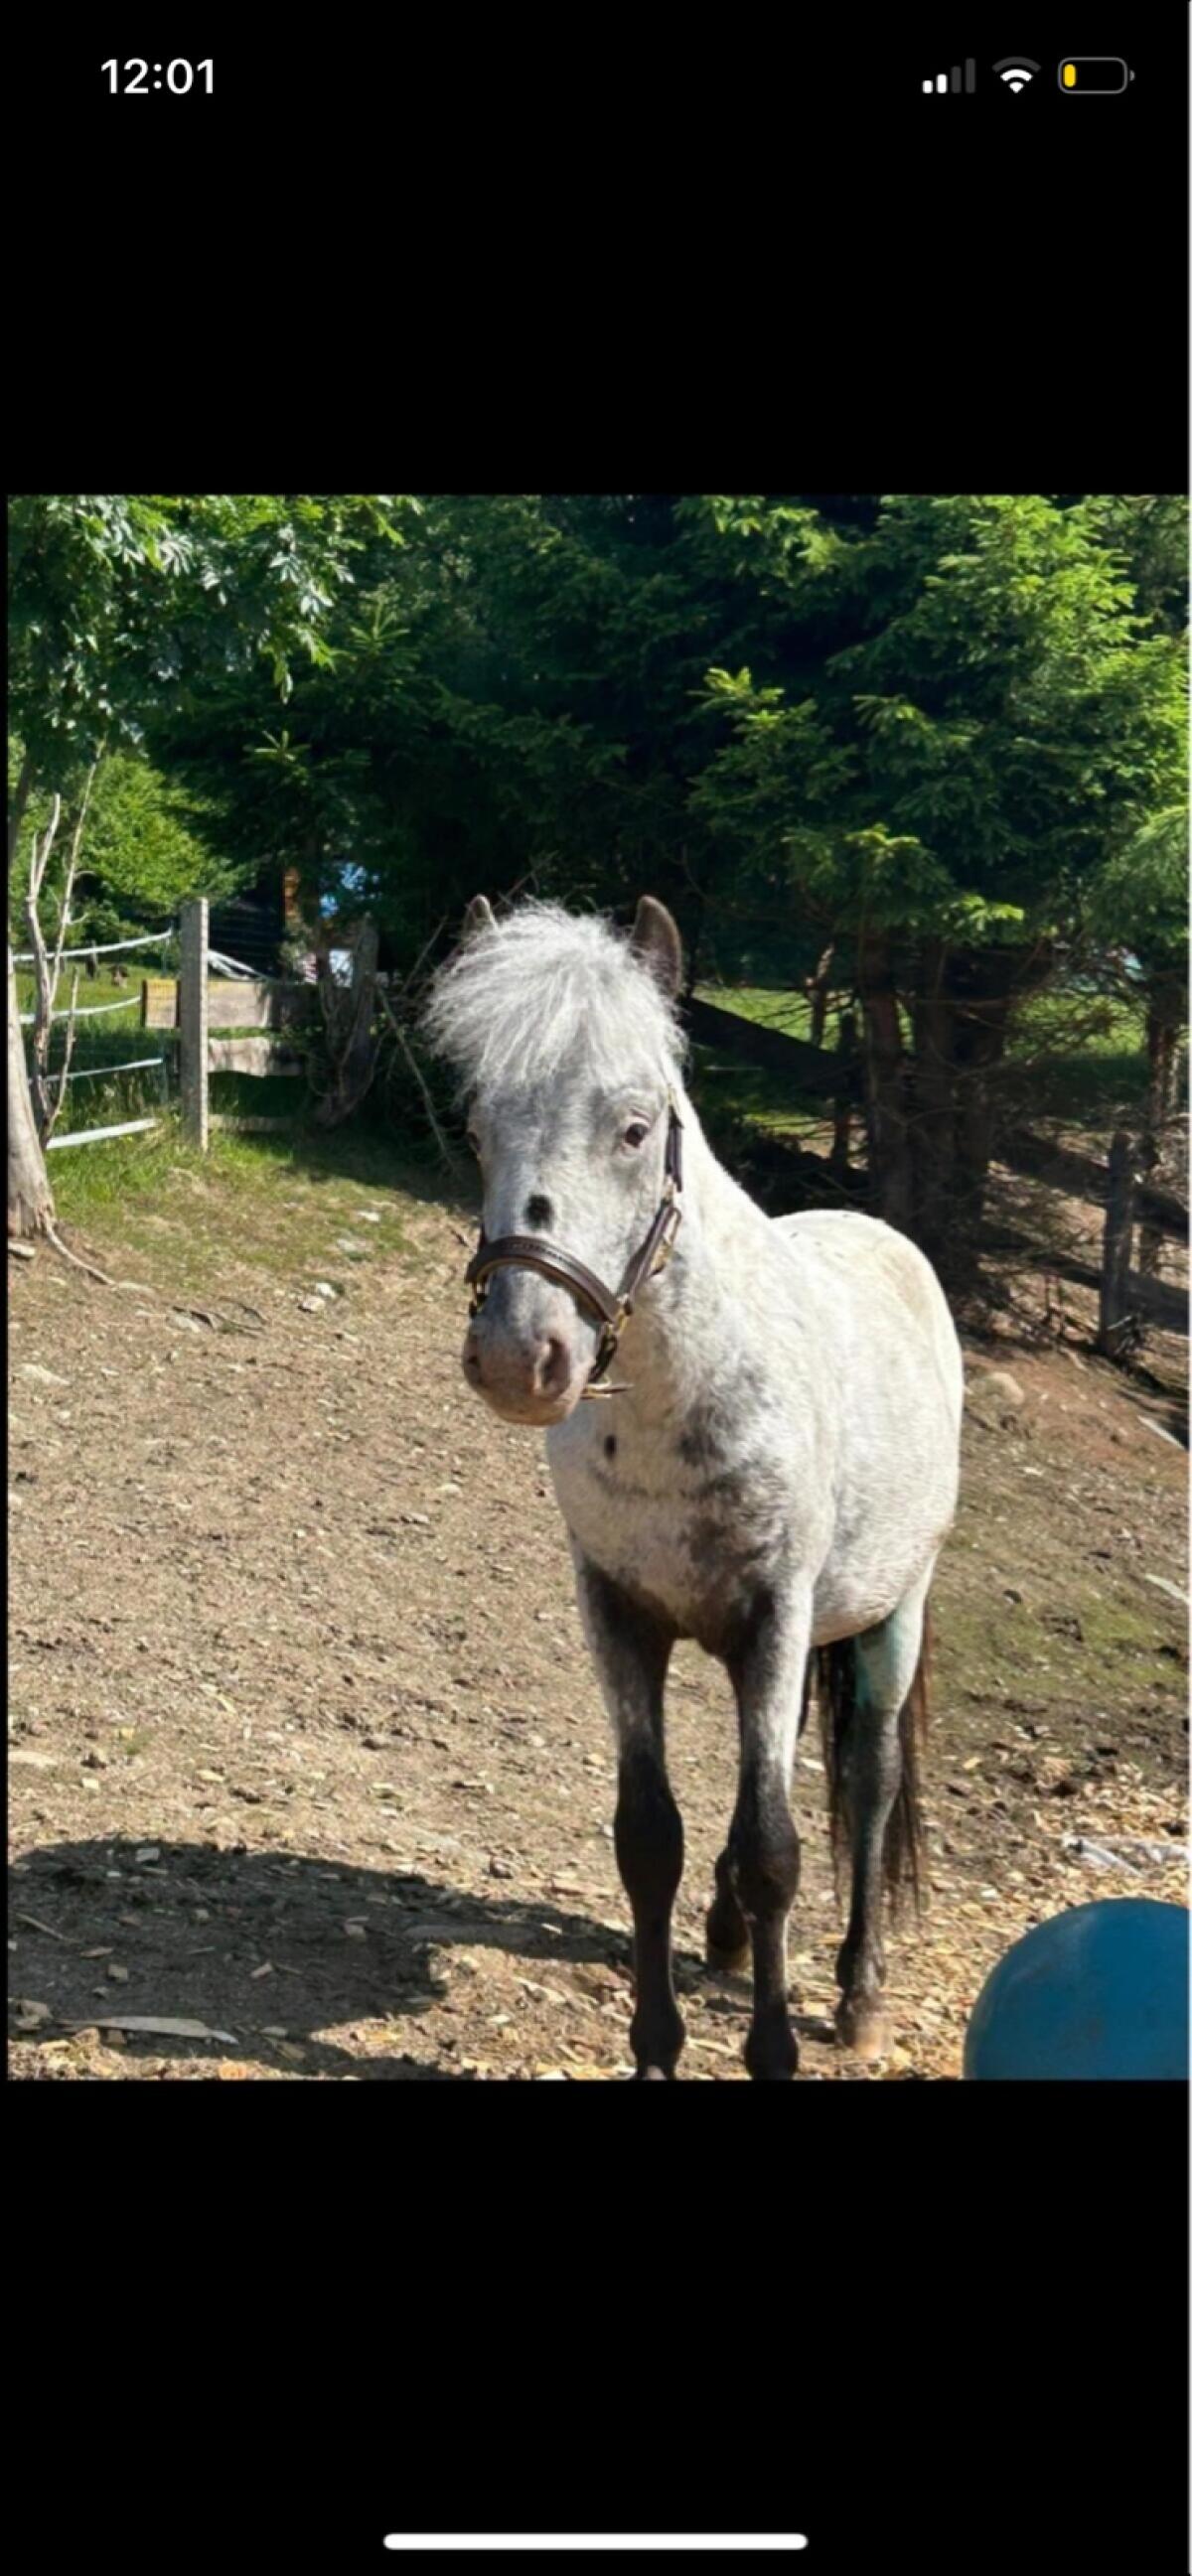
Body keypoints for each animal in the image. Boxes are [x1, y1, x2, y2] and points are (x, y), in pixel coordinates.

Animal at [423, 894, 963, 2080]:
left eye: (635, 1128)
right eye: (478, 1127)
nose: (520, 1357)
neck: (684, 1400)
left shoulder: (774, 1614)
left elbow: (776, 1850)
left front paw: (772, 2046)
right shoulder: (623, 1614)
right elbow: (649, 1837)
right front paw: (656, 2045)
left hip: (886, 1615)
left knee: (865, 1782)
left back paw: (858, 1992)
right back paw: (726, 1937)